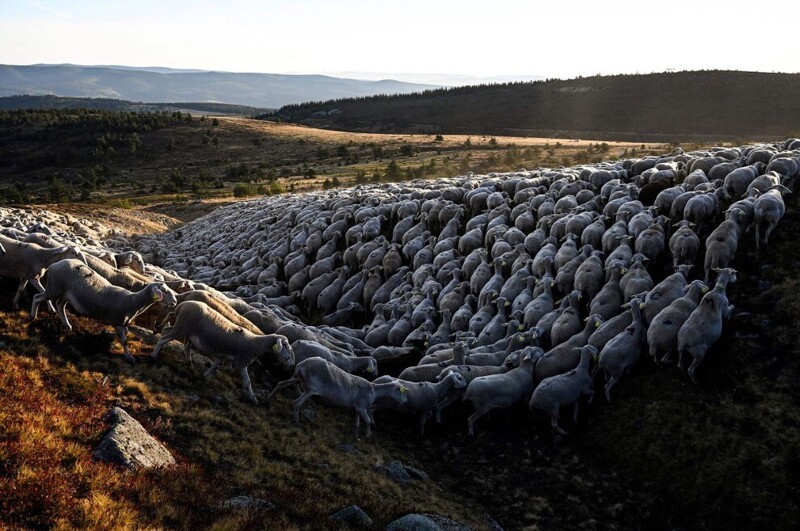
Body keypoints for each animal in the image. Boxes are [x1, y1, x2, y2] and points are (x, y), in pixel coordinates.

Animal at [32, 258, 175, 366]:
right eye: (165, 291)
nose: (174, 302)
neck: (131, 301)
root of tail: (54, 265)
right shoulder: (117, 322)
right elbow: (124, 341)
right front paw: (129, 357)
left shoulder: (123, 323)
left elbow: (126, 334)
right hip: (54, 287)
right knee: (37, 297)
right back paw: (33, 316)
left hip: (65, 293)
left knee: (60, 305)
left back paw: (67, 325)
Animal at [151, 302, 294, 402]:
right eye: (285, 345)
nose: (292, 364)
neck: (255, 343)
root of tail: (182, 305)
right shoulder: (242, 362)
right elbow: (247, 381)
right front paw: (253, 398)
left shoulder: (226, 356)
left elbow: (218, 364)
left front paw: (207, 374)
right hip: (182, 327)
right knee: (165, 338)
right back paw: (154, 355)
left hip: (185, 329)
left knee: (174, 337)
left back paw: (188, 363)